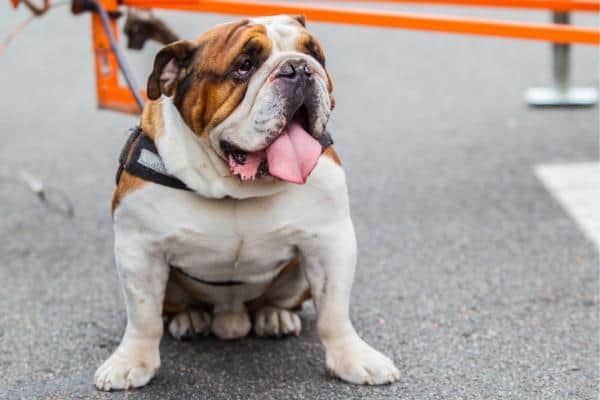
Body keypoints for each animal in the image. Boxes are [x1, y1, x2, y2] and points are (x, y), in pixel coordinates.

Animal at [95, 14, 398, 390]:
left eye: (315, 55)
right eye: (244, 66)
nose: (298, 68)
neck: (236, 187)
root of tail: (232, 315)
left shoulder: (331, 242)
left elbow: (334, 312)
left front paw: (352, 357)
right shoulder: (139, 250)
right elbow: (143, 317)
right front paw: (130, 362)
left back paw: (275, 316)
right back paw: (191, 318)